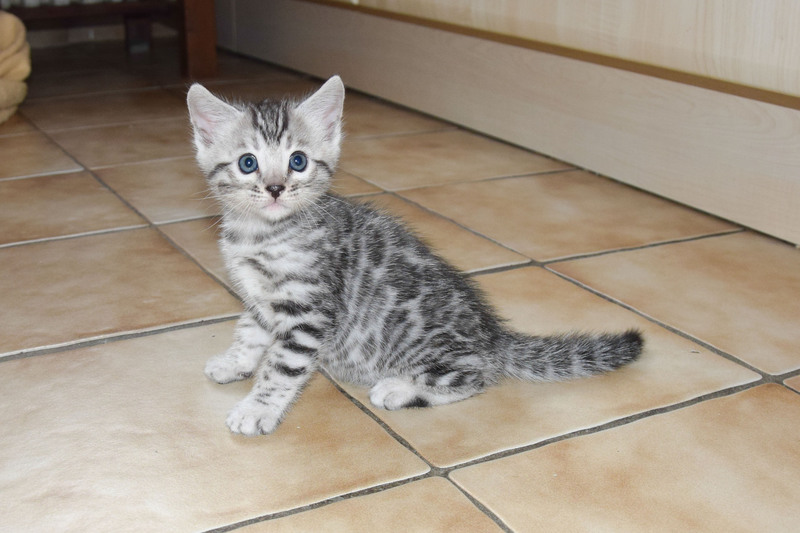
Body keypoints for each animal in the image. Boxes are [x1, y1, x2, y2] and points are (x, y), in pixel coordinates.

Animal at [186, 76, 643, 436]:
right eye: (248, 163)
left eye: (297, 161)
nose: (276, 188)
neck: (260, 234)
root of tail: (493, 335)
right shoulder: (260, 298)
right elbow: (250, 333)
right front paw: (235, 363)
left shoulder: (308, 312)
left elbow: (282, 366)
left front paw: (257, 409)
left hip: (436, 351)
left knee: (478, 376)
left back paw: (402, 389)